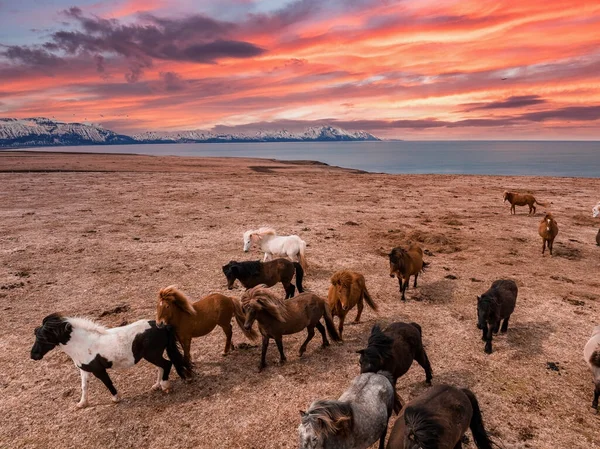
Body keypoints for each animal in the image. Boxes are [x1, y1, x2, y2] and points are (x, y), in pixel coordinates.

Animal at [30, 314, 192, 408]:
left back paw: (165, 386)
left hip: (152, 355)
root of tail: (161, 325)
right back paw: (156, 385)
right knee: (161, 367)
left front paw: (115, 398)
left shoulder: (99, 370)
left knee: (167, 364)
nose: (33, 355)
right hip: (154, 355)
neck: (83, 343)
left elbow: (108, 383)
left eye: (42, 338)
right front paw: (82, 403)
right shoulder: (84, 369)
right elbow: (84, 386)